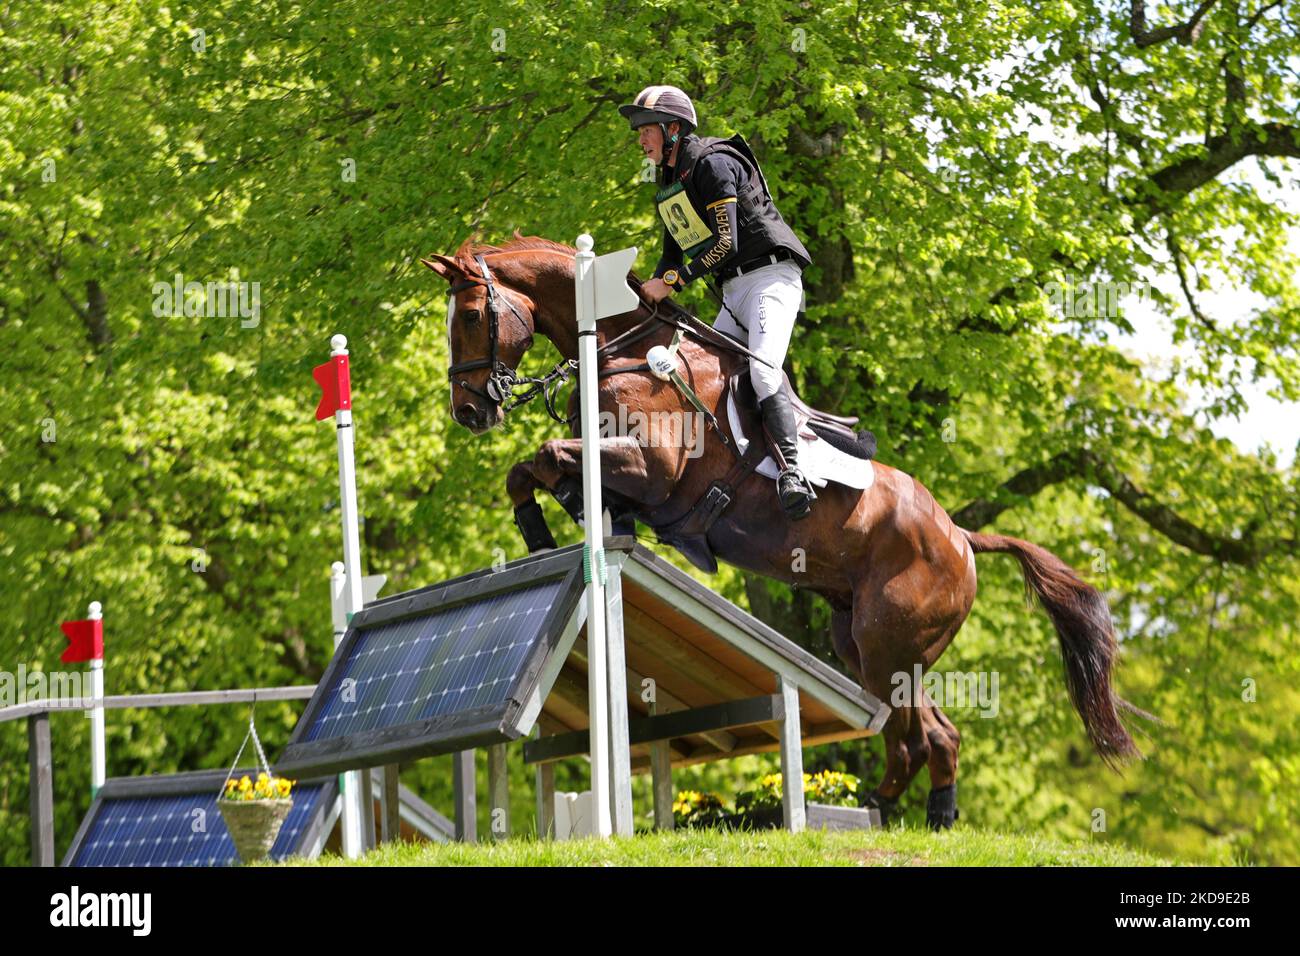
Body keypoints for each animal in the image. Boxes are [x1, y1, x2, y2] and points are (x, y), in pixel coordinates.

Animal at [423, 234, 1138, 832]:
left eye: (471, 317)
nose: (468, 411)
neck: (624, 349)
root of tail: (960, 535)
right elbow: (528, 468)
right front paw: (545, 528)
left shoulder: (654, 469)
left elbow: (547, 453)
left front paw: (561, 513)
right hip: (860, 643)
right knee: (928, 732)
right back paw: (912, 813)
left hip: (889, 643)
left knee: (913, 734)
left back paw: (887, 814)